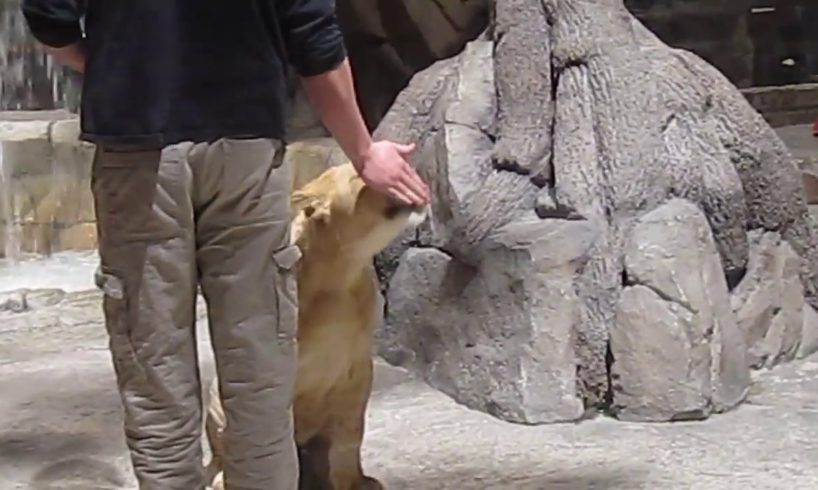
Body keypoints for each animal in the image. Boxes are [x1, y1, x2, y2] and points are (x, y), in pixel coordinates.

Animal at [204, 163, 428, 488]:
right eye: (358, 176)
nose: (410, 168)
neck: (340, 275)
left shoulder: (357, 369)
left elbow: (349, 437)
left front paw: (355, 482)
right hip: (216, 397)